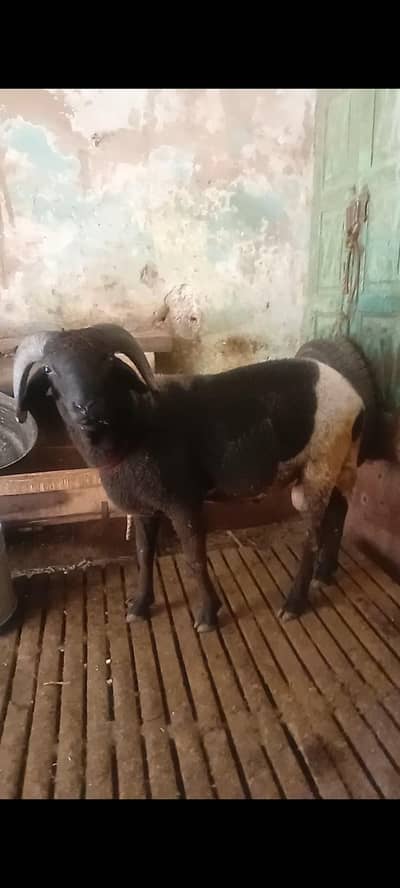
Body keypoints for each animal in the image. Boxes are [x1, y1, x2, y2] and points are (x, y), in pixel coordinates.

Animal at [13, 323, 371, 632]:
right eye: (49, 370)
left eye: (107, 362)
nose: (86, 407)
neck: (137, 427)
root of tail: (353, 394)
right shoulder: (144, 507)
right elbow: (143, 555)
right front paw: (140, 606)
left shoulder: (183, 500)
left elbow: (194, 559)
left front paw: (208, 615)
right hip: (341, 462)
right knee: (339, 512)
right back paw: (325, 574)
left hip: (320, 466)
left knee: (312, 534)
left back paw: (294, 604)